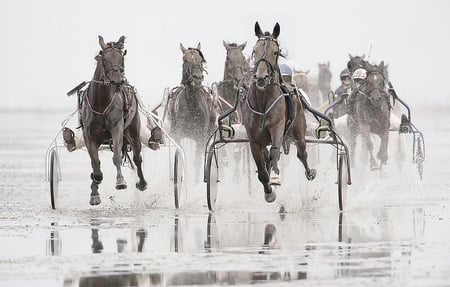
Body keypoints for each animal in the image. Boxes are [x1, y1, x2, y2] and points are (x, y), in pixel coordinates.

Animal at [81, 36, 147, 206]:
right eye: (103, 57)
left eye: (122, 57)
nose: (117, 81)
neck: (101, 103)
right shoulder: (89, 136)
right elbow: (95, 164)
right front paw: (95, 190)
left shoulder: (117, 128)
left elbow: (117, 156)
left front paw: (120, 181)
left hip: (133, 130)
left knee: (137, 158)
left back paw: (142, 183)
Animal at [243, 22, 316, 202]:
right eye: (254, 50)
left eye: (275, 52)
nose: (261, 77)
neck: (262, 103)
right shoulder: (254, 140)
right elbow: (262, 170)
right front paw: (269, 191)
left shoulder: (277, 128)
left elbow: (275, 153)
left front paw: (275, 178)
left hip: (299, 131)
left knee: (301, 153)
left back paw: (309, 172)